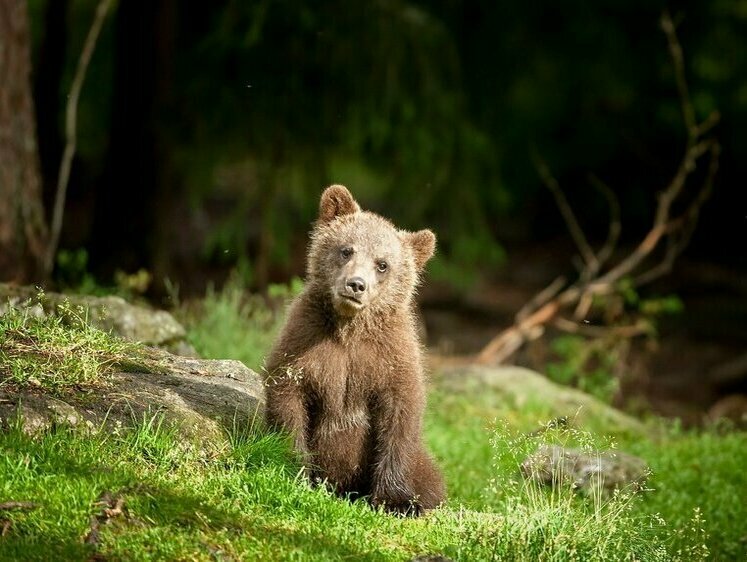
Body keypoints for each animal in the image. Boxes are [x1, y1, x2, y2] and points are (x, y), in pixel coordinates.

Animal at [266, 183, 448, 512]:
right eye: (346, 250)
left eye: (383, 264)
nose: (356, 284)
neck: (350, 329)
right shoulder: (304, 341)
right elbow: (288, 399)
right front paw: (294, 470)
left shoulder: (389, 357)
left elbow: (400, 412)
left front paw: (396, 501)